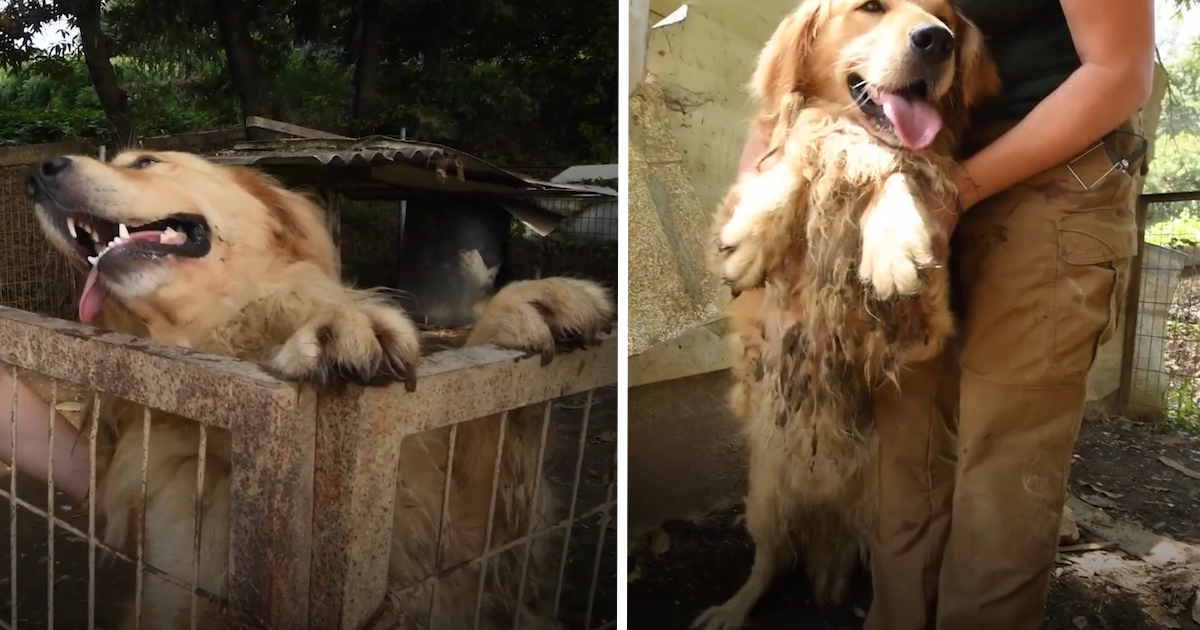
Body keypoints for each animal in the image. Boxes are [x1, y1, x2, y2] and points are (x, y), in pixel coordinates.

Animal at [24, 148, 614, 628]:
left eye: (146, 161)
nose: (36, 172)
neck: (223, 337)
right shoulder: (184, 583)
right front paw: (340, 328)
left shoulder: (471, 551)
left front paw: (529, 303)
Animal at [696, 1, 1003, 628]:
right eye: (871, 7)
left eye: (945, 17)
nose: (936, 41)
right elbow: (806, 142)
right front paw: (759, 231)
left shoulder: (925, 326)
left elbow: (896, 163)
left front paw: (894, 243)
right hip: (764, 491)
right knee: (770, 561)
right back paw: (734, 608)